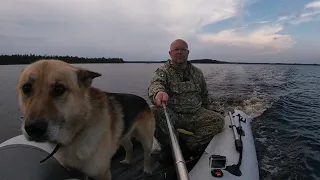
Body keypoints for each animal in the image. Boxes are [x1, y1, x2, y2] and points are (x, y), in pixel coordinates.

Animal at [16, 59, 156, 180]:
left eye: (59, 89)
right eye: (26, 88)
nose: (33, 129)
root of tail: (143, 101)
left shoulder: (102, 173)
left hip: (146, 139)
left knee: (147, 154)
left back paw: (147, 169)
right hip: (123, 136)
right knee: (130, 146)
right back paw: (127, 160)